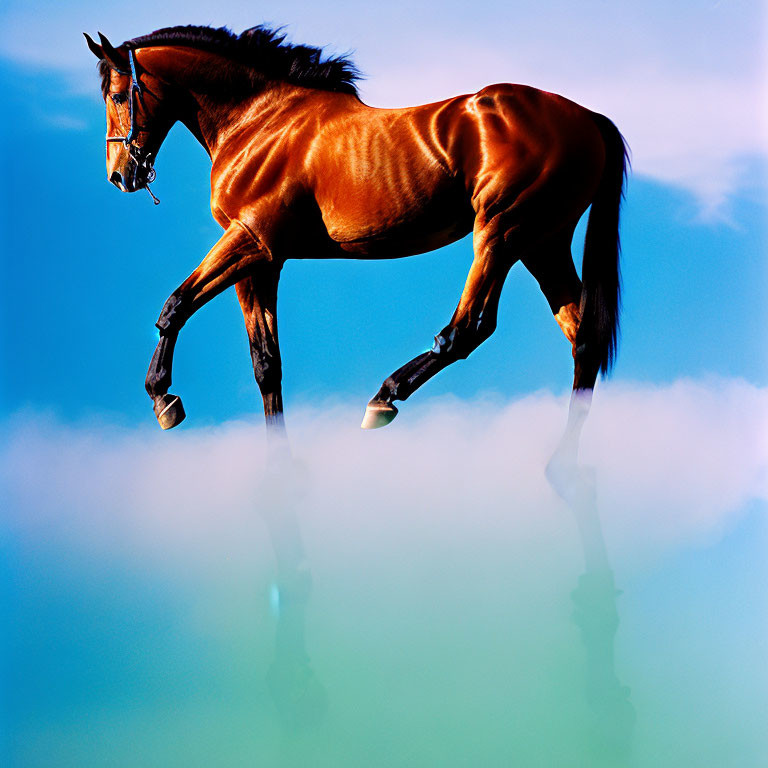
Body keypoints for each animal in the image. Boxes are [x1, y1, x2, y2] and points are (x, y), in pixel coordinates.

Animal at [84, 24, 628, 462]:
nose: (120, 175)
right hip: (543, 243)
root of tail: (586, 117)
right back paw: (565, 460)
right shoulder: (263, 262)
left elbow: (175, 305)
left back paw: (384, 397)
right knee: (582, 341)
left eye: (118, 95)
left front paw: (163, 398)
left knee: (468, 329)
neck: (261, 120)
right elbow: (266, 363)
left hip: (501, 231)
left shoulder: (251, 240)